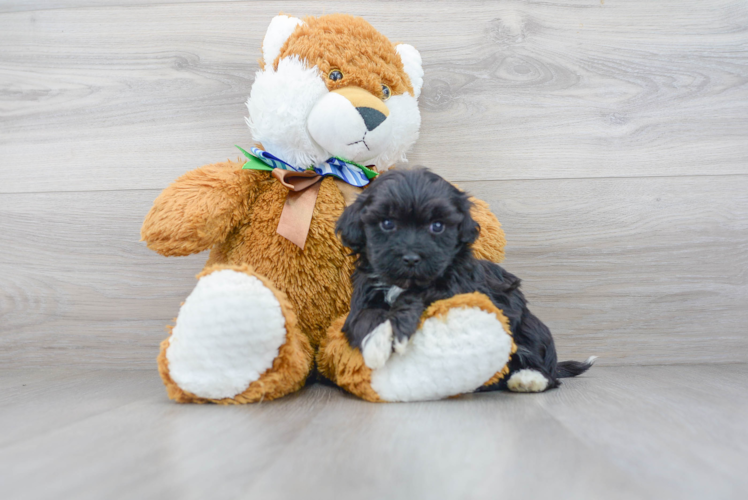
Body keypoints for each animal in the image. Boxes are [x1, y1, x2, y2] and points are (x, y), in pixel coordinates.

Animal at [336, 170, 592, 392]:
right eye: (387, 223)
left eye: (437, 226)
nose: (411, 258)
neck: (404, 282)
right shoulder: (364, 294)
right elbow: (363, 317)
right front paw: (376, 341)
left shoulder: (457, 288)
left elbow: (420, 295)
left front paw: (396, 326)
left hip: (531, 328)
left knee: (547, 368)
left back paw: (529, 378)